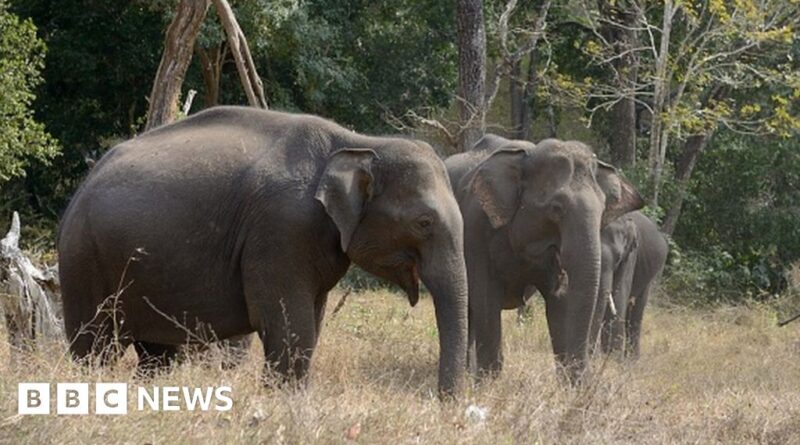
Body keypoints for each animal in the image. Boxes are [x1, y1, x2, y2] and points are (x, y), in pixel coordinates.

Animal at [61, 106, 468, 396]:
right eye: (424, 222)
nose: (444, 402)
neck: (358, 142)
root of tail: (83, 184)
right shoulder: (280, 229)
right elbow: (289, 325)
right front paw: (285, 403)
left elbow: (310, 322)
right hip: (85, 260)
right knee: (95, 345)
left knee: (157, 354)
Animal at [588, 210, 668, 360]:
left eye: (618, 257)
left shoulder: (630, 255)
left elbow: (619, 296)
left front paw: (612, 360)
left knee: (636, 314)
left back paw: (631, 362)